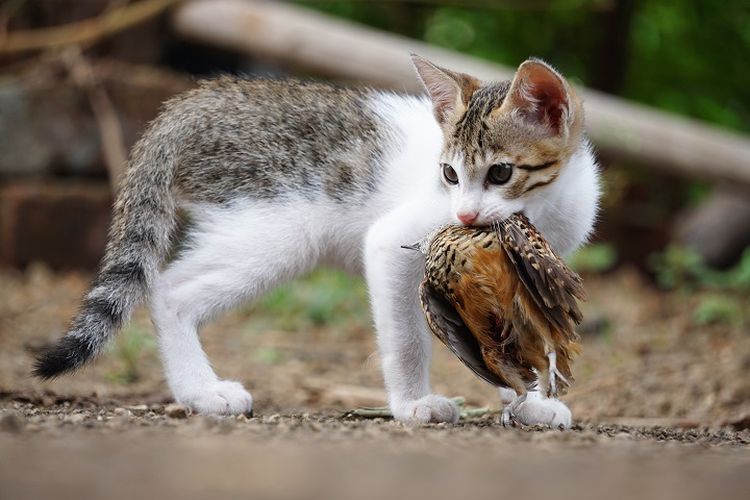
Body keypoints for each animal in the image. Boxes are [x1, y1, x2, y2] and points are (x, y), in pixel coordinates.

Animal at [35, 53, 604, 426]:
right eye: (449, 174)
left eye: (500, 173)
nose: (463, 213)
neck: (546, 208)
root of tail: (205, 96)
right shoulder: (394, 243)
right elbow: (405, 340)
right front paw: (411, 405)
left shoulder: (527, 275)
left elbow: (522, 340)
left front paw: (531, 402)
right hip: (275, 229)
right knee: (169, 290)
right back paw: (202, 391)